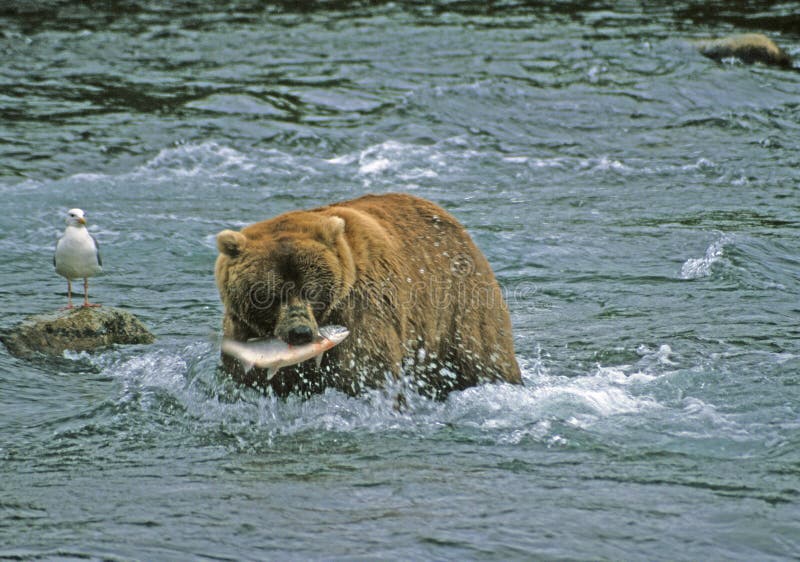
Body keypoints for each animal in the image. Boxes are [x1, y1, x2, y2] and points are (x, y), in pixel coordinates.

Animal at [214, 193, 521, 399]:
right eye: (268, 295)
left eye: (310, 290)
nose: (300, 333)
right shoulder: (243, 332)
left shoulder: (362, 308)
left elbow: (367, 372)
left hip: (459, 305)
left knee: (483, 358)